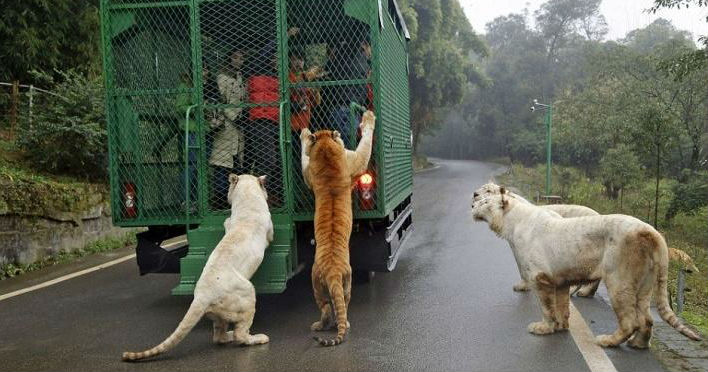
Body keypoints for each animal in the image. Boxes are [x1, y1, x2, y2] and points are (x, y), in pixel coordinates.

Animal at [298, 109, 376, 346]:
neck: (326, 151)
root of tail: (332, 271)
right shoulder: (356, 161)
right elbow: (365, 144)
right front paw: (369, 117)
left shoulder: (310, 174)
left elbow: (304, 157)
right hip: (338, 284)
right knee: (333, 309)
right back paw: (333, 325)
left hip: (322, 285)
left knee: (329, 307)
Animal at [472, 189, 700, 348]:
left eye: (485, 200)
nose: (472, 204)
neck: (511, 221)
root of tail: (650, 231)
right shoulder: (560, 280)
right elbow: (561, 306)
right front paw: (561, 326)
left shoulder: (540, 278)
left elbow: (547, 307)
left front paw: (543, 328)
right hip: (645, 284)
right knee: (647, 319)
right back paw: (638, 344)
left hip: (619, 281)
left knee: (630, 321)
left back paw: (608, 341)